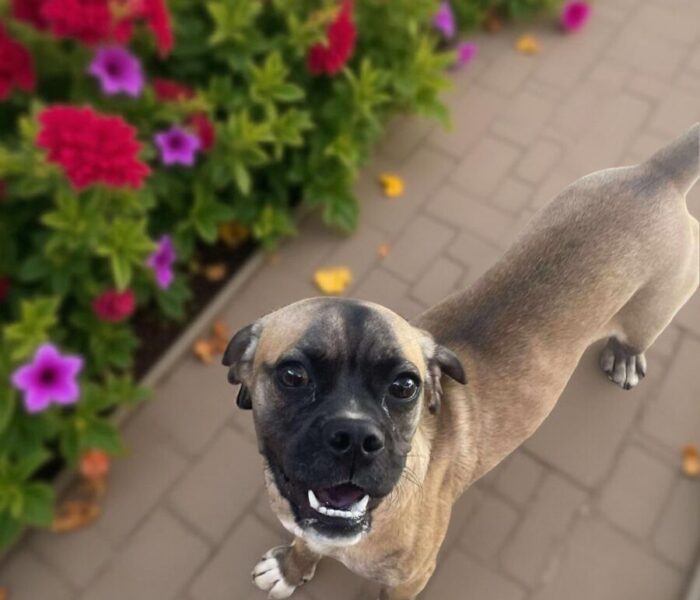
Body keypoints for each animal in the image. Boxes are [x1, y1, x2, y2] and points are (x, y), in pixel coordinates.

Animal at [223, 124, 700, 600]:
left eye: (404, 386)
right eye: (293, 375)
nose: (356, 437)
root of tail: (657, 173)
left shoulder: (410, 579)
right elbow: (306, 541)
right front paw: (291, 567)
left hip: (652, 312)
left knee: (637, 336)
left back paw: (625, 357)